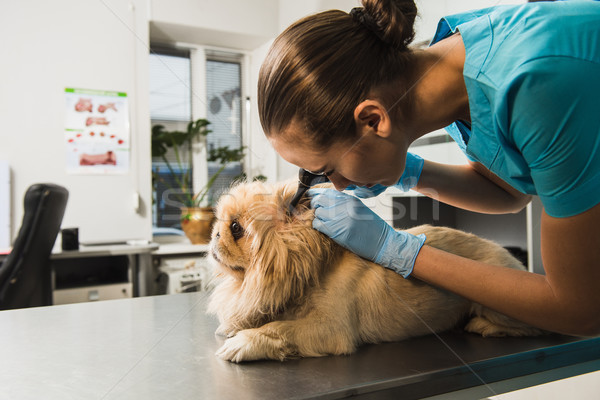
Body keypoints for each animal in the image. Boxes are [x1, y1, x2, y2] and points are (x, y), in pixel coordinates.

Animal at [207, 181, 544, 362]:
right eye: (221, 223)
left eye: (235, 228)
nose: (214, 234)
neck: (312, 269)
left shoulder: (330, 330)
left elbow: (280, 329)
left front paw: (246, 341)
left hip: (501, 303)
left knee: (534, 327)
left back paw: (483, 326)